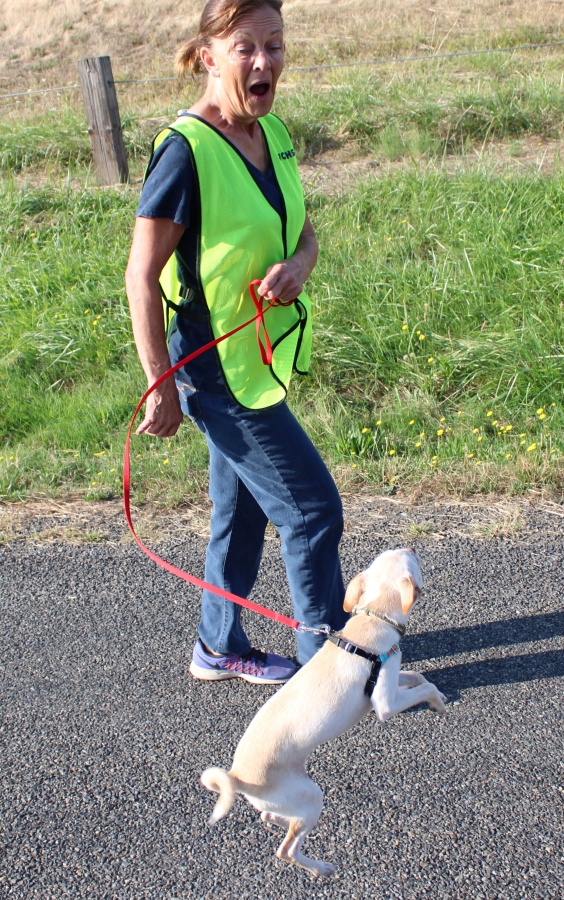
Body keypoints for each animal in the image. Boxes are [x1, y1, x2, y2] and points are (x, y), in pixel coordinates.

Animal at [200, 548, 448, 880]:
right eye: (413, 561)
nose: (411, 548)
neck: (372, 619)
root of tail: (237, 777)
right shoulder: (384, 703)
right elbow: (426, 686)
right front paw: (438, 703)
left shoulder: (394, 678)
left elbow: (419, 676)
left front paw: (440, 697)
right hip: (311, 795)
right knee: (286, 849)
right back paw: (321, 868)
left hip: (293, 802)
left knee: (270, 816)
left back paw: (287, 826)